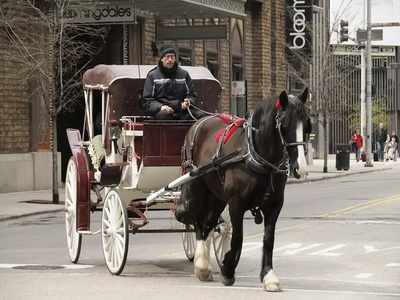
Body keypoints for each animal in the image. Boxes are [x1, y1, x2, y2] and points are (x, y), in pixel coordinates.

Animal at [177, 88, 310, 290]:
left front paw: (268, 276)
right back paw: (202, 265)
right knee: (198, 221)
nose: (300, 168)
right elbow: (238, 237)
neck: (255, 156)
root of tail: (199, 121)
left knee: (208, 222)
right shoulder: (236, 203)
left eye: (308, 125)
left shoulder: (274, 205)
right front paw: (227, 270)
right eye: (284, 126)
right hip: (197, 187)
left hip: (217, 196)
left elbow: (269, 239)